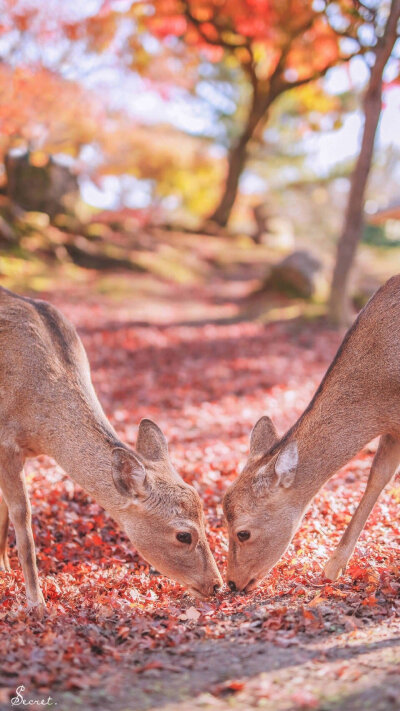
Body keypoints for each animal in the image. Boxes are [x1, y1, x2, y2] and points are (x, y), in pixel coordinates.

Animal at [0, 286, 222, 616]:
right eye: (184, 534)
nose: (217, 585)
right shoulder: (6, 443)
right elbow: (22, 518)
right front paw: (36, 603)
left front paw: (4, 572)